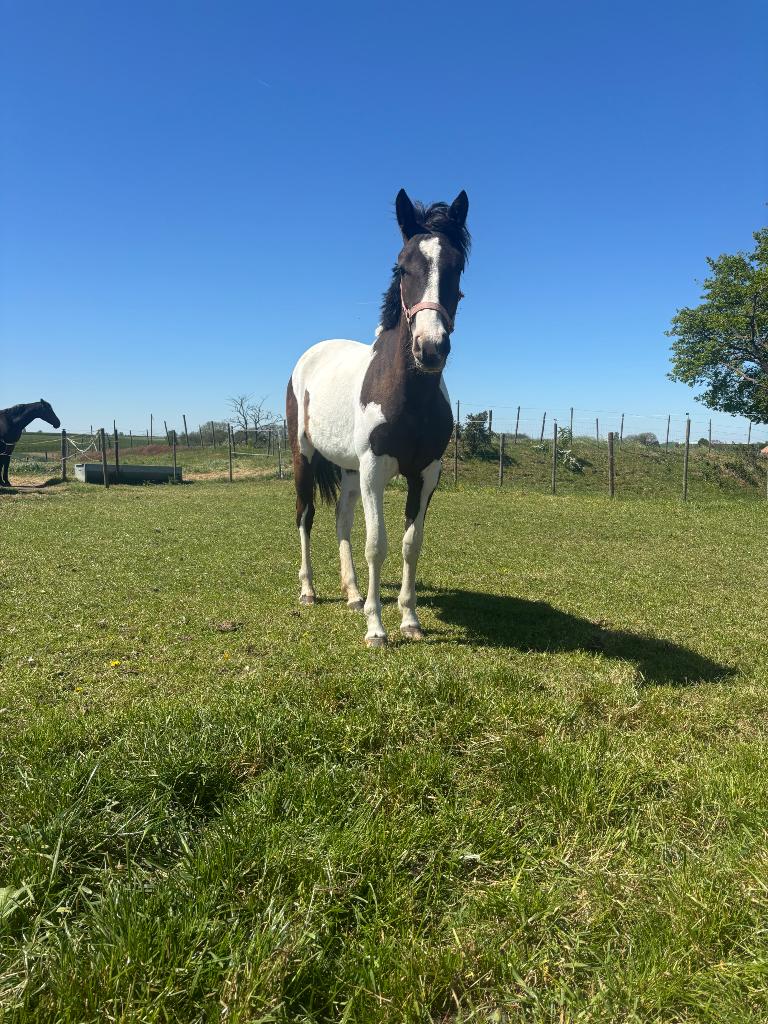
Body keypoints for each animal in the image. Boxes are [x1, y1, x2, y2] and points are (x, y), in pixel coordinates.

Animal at [286, 189, 470, 646]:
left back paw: (352, 593)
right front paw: (376, 627)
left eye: (457, 266)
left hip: (349, 469)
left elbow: (410, 544)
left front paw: (410, 620)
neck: (408, 396)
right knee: (305, 516)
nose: (430, 347)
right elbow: (377, 544)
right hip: (305, 457)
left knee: (342, 520)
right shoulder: (373, 470)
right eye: (402, 266)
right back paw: (309, 590)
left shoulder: (426, 473)